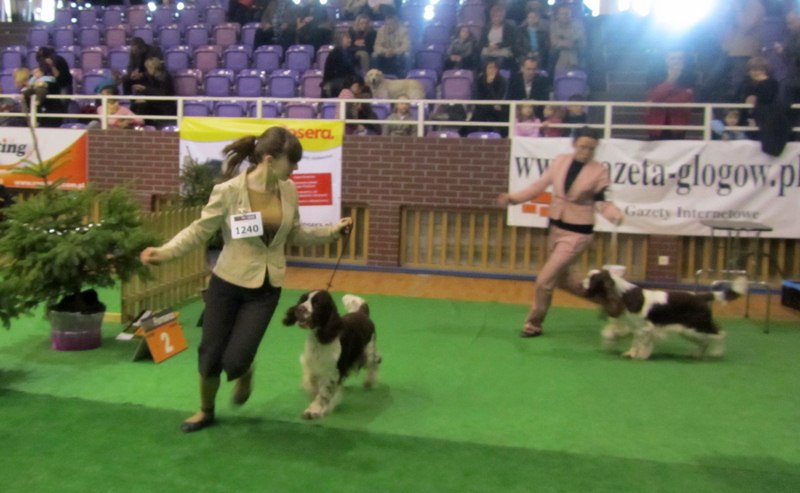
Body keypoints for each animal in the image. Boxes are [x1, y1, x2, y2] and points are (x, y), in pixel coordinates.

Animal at [282, 290, 380, 419]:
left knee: (375, 362)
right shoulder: (312, 366)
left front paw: (314, 410)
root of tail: (362, 313)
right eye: (303, 299)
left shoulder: (332, 372)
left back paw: (369, 382)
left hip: (367, 352)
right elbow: (312, 385)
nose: (299, 308)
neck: (320, 339)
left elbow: (323, 393)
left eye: (317, 304)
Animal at [582, 269, 748, 360]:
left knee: (720, 333)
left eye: (592, 279)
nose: (581, 283)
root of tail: (701, 296)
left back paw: (717, 353)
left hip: (697, 325)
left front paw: (636, 356)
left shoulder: (644, 328)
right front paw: (633, 354)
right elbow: (635, 341)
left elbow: (639, 343)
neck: (624, 294)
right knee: (705, 341)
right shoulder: (635, 328)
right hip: (689, 331)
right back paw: (696, 354)